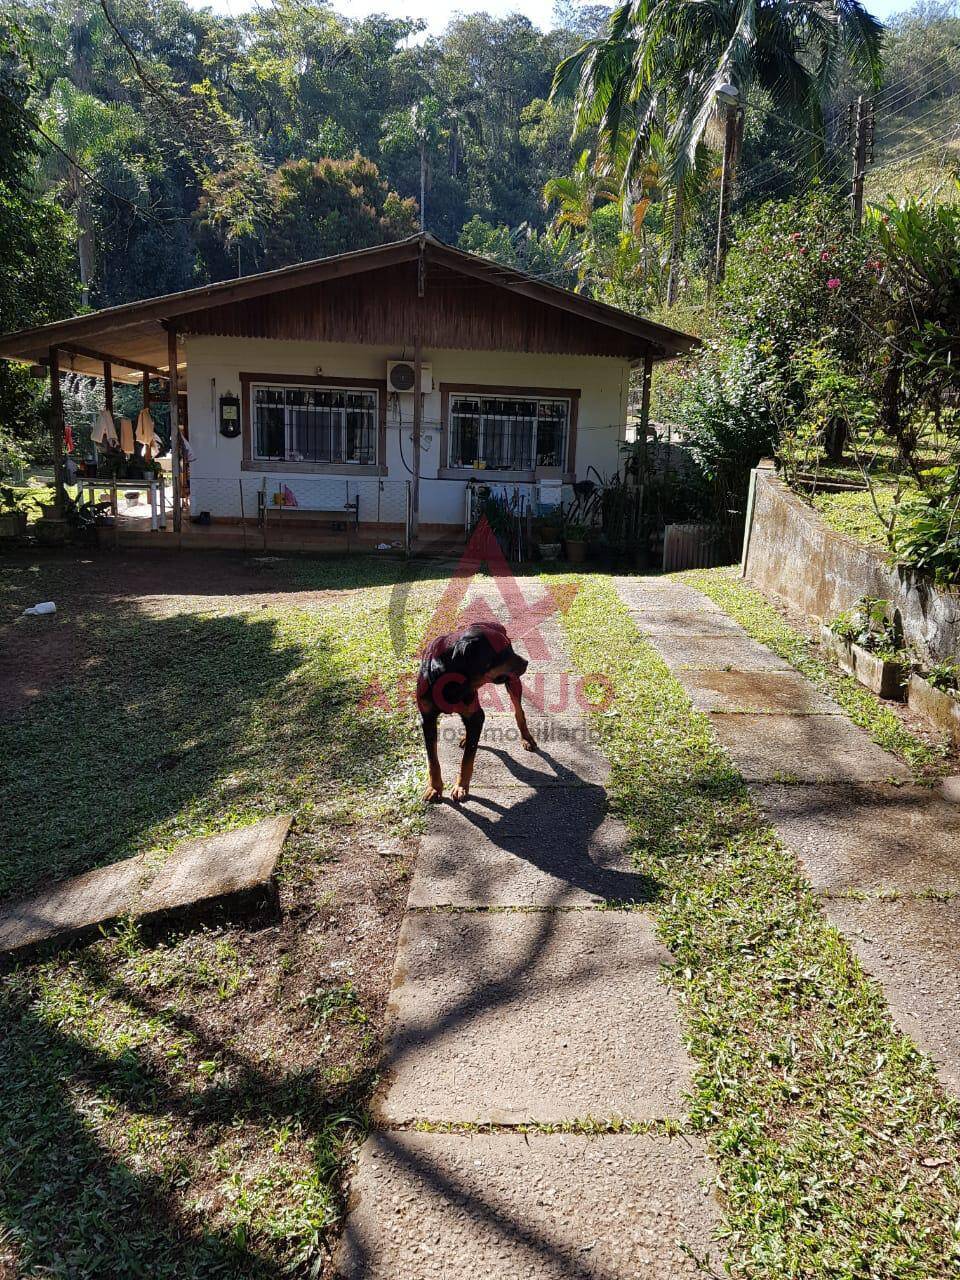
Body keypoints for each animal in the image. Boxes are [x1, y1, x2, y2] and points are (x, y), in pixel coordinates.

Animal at [417, 619, 537, 798]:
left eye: (510, 647)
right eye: (503, 651)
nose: (526, 662)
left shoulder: (475, 716)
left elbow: (467, 758)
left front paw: (461, 786)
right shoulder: (427, 719)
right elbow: (432, 760)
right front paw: (435, 788)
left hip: (513, 683)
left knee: (519, 711)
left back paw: (526, 737)